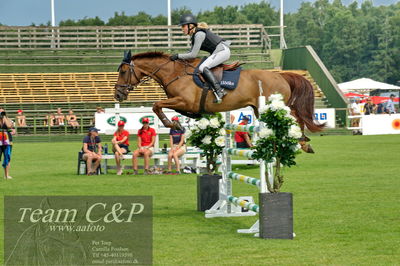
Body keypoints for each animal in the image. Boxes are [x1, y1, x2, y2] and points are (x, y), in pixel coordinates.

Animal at [114, 51, 324, 151]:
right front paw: (181, 123)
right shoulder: (183, 104)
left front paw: (173, 125)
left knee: (296, 118)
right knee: (296, 118)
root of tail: (281, 75)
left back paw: (303, 141)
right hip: (259, 109)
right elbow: (166, 108)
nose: (117, 95)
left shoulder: (183, 101)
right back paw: (303, 142)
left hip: (273, 106)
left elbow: (156, 105)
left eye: (123, 71)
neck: (174, 73)